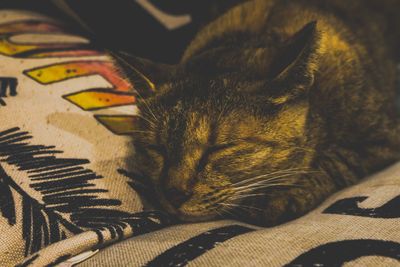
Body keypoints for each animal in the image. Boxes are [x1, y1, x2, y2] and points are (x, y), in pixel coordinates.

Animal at [114, 0, 400, 227]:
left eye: (219, 148)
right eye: (157, 148)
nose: (174, 194)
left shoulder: (380, 141)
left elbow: (336, 161)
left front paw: (280, 199)